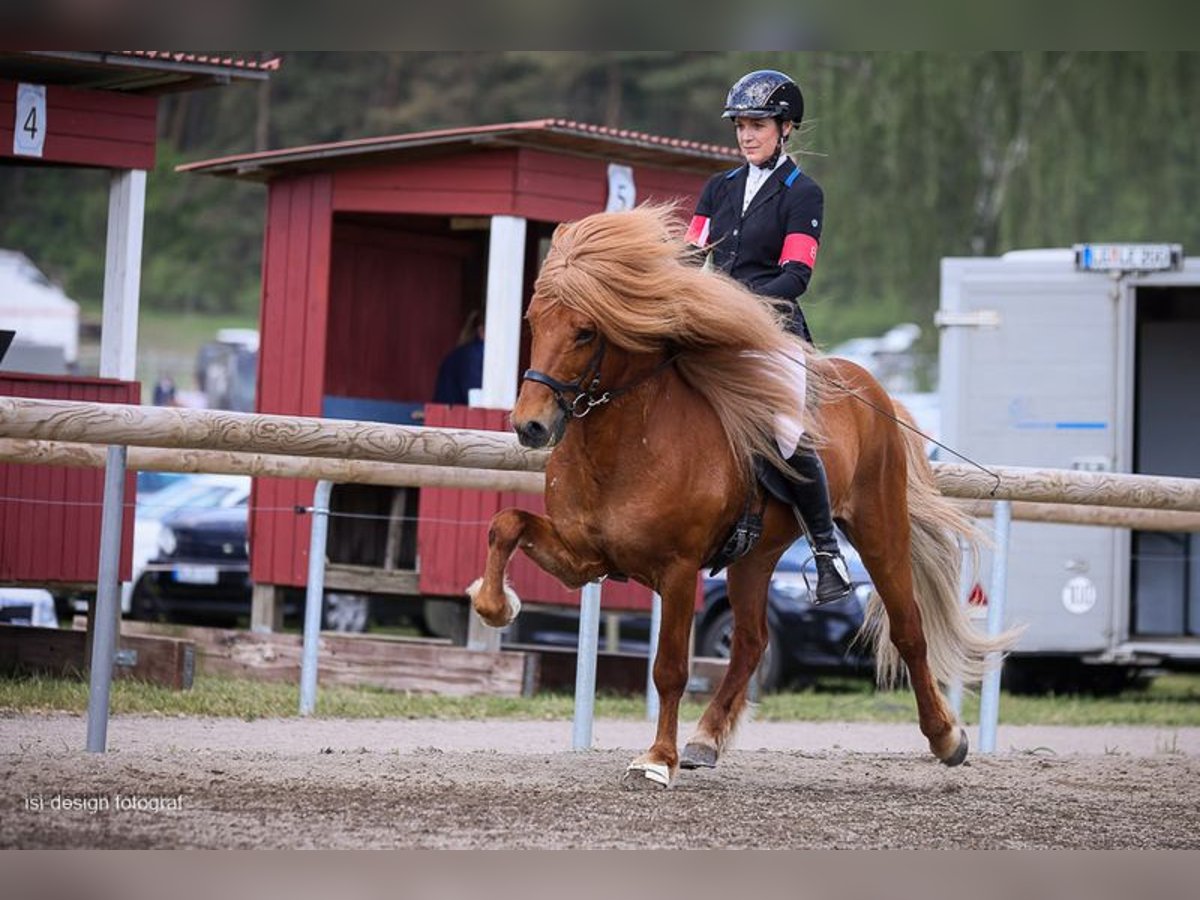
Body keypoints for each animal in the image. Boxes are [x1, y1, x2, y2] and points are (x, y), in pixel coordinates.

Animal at [468, 204, 1012, 787]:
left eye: (586, 332)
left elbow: (670, 669)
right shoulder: (584, 558)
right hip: (755, 557)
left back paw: (947, 737)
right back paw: (706, 739)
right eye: (533, 321)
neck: (624, 444)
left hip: (878, 527)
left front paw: (658, 759)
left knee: (909, 629)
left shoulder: (678, 571)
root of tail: (870, 386)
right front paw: (496, 605)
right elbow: (506, 523)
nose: (530, 427)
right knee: (752, 643)